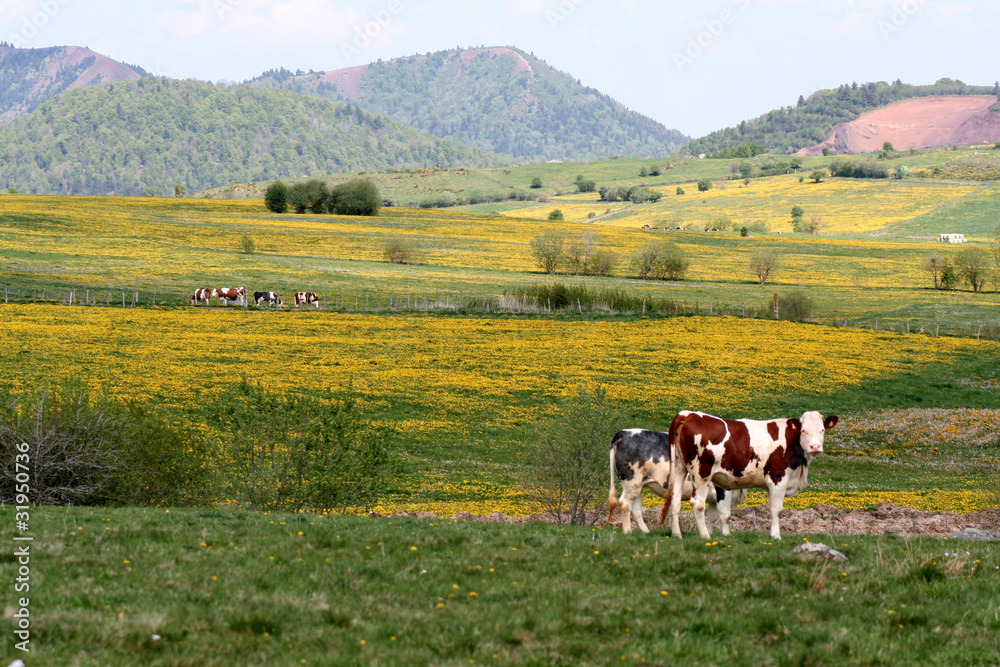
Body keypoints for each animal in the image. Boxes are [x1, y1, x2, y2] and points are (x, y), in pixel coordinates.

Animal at [607, 429, 745, 535]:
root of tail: (624, 432)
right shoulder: (723, 491)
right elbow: (725, 515)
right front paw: (726, 536)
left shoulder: (713, 497)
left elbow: (712, 517)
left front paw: (709, 534)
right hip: (631, 482)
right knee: (624, 504)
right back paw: (628, 531)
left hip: (639, 485)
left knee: (635, 508)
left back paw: (646, 532)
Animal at [669, 410, 838, 541]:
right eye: (804, 430)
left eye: (822, 430)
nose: (815, 446)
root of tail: (687, 414)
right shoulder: (778, 478)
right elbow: (776, 509)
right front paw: (776, 536)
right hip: (701, 472)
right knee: (697, 503)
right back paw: (705, 536)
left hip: (679, 467)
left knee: (675, 500)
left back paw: (677, 534)